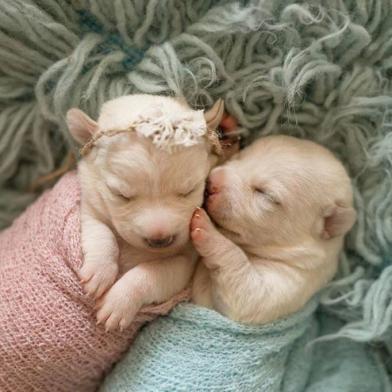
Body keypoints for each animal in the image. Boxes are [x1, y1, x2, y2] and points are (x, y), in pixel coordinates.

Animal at [65, 95, 224, 330]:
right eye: (121, 195)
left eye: (189, 191)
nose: (160, 239)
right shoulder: (90, 205)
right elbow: (100, 232)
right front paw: (99, 271)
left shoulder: (185, 262)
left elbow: (153, 272)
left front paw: (118, 301)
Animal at [191, 135, 356, 324]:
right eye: (240, 156)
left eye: (265, 194)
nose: (210, 183)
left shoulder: (291, 282)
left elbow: (248, 295)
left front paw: (206, 230)